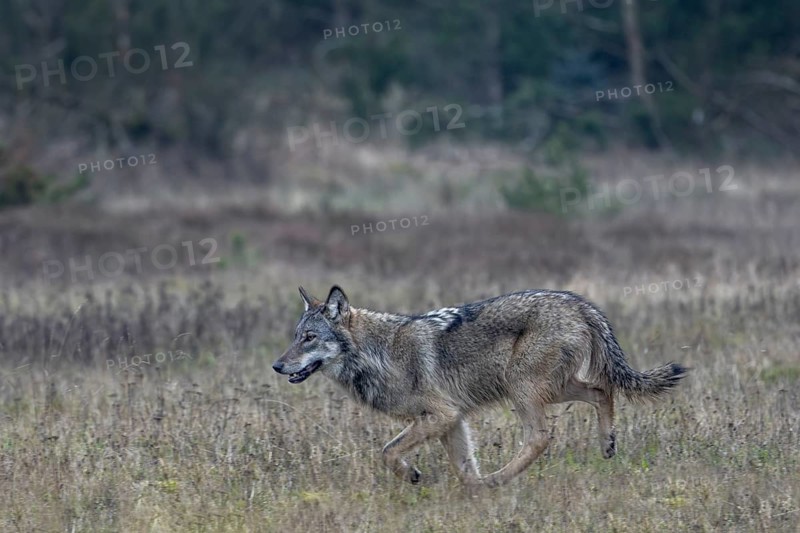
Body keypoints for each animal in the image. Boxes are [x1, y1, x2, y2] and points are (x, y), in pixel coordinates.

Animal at [272, 285, 688, 487]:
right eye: (294, 337)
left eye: (309, 338)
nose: (277, 365)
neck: (378, 353)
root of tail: (580, 304)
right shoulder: (453, 420)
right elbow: (463, 469)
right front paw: (473, 495)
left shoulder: (441, 414)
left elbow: (387, 452)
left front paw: (412, 475)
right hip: (552, 387)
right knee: (603, 391)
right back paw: (607, 445)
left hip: (522, 389)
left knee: (541, 436)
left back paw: (500, 478)